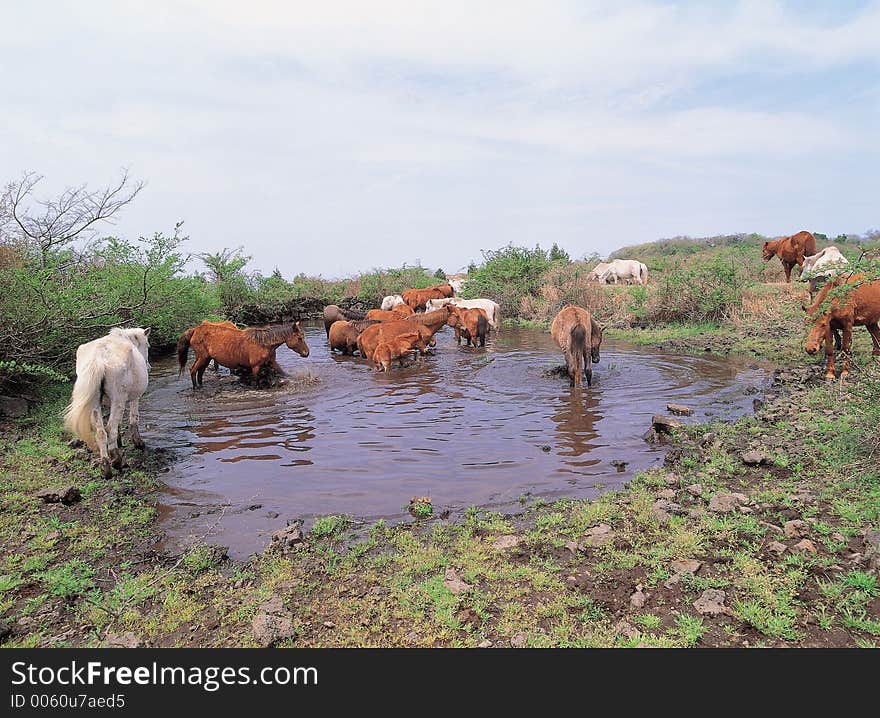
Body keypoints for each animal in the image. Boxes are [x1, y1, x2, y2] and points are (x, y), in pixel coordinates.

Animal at [64, 330, 151, 480]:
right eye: (148, 345)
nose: (148, 366)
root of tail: (99, 359)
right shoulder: (134, 398)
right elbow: (133, 418)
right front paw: (138, 443)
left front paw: (119, 442)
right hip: (118, 400)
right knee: (110, 429)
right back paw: (116, 461)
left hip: (95, 404)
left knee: (101, 432)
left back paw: (105, 467)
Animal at [177, 322, 312, 388]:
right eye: (299, 338)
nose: (307, 353)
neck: (264, 343)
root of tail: (195, 330)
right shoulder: (255, 367)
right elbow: (255, 382)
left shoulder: (272, 363)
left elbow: (285, 374)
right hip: (202, 357)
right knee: (193, 370)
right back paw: (196, 388)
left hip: (206, 358)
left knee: (200, 373)